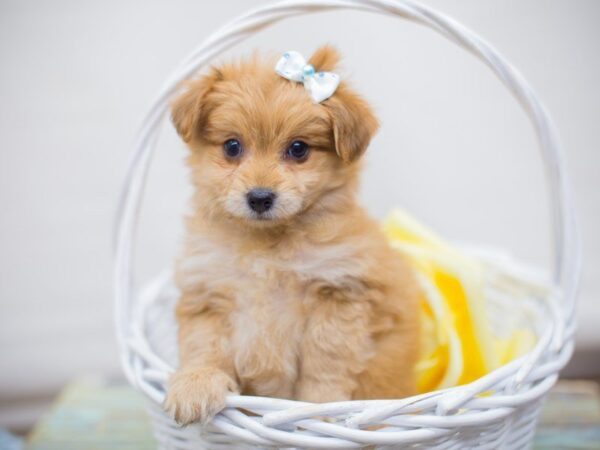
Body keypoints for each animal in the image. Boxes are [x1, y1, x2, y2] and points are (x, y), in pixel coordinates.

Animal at [162, 45, 420, 426]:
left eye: (298, 149)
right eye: (232, 147)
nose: (259, 197)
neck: (268, 249)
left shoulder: (341, 293)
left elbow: (325, 360)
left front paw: (321, 411)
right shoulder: (207, 294)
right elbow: (204, 346)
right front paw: (195, 385)